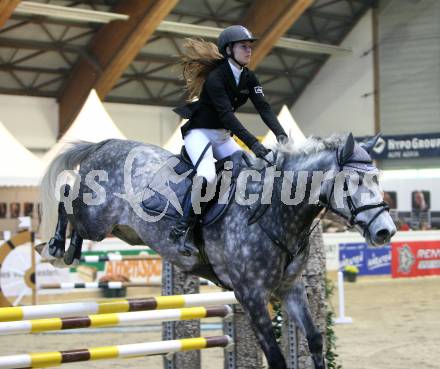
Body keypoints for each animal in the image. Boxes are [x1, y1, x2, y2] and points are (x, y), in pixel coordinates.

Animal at [38, 132, 396, 368]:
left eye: (377, 179)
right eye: (353, 183)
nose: (385, 231)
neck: (275, 213)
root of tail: (105, 144)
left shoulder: (290, 288)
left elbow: (315, 340)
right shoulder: (251, 295)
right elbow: (276, 357)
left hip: (123, 232)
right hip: (96, 221)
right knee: (67, 196)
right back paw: (54, 248)